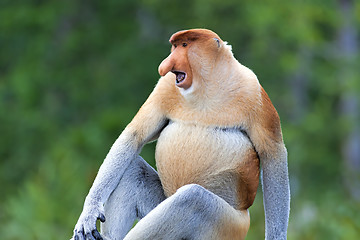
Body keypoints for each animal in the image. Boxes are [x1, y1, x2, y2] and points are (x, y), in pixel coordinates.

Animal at [71, 28, 290, 240]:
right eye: (174, 46)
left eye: (185, 45)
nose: (164, 66)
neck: (207, 85)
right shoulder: (165, 87)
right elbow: (134, 136)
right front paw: (89, 213)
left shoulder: (254, 92)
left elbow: (273, 154)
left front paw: (276, 236)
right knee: (135, 169)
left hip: (229, 226)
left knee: (192, 199)